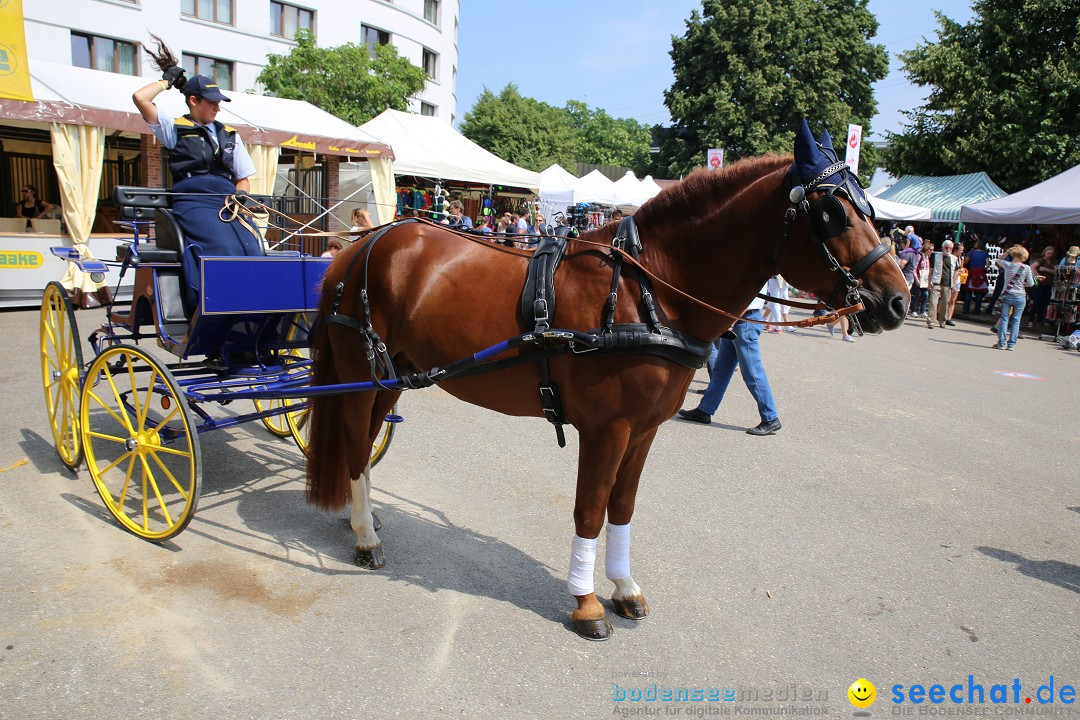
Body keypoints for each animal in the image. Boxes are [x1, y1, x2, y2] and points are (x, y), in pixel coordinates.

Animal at [304, 120, 911, 639]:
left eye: (868, 207)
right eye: (832, 212)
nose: (897, 300)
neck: (650, 290)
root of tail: (362, 245)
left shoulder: (643, 431)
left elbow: (622, 507)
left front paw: (623, 587)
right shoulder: (607, 429)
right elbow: (590, 508)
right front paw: (586, 601)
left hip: (391, 378)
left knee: (365, 440)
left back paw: (364, 519)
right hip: (360, 377)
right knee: (355, 443)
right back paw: (365, 536)